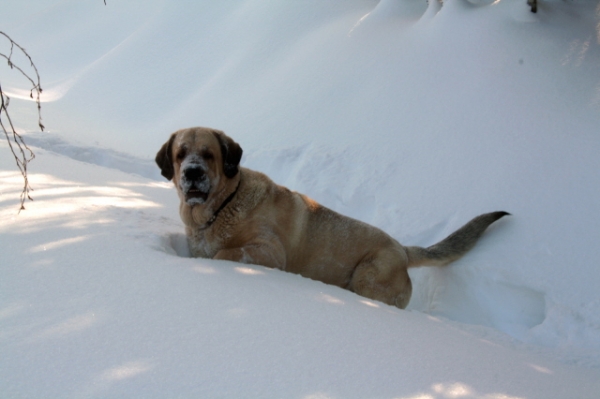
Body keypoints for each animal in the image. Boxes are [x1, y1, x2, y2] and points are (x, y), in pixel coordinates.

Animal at [157, 128, 508, 310]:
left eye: (209, 154)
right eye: (180, 154)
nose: (192, 173)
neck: (222, 205)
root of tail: (403, 249)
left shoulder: (268, 251)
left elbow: (223, 253)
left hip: (369, 274)